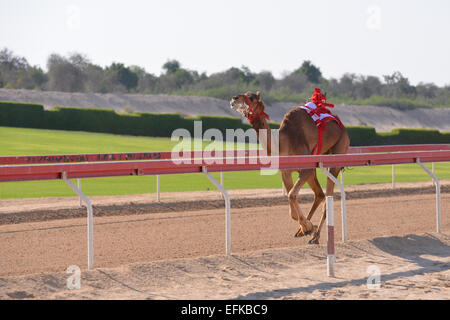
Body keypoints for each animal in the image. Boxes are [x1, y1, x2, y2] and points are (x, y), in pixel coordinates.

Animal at [230, 89, 350, 244]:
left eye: (251, 97)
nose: (234, 98)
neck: (283, 141)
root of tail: (342, 127)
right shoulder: (286, 171)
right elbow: (291, 204)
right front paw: (307, 228)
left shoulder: (306, 167)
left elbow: (292, 195)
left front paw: (309, 227)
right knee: (319, 194)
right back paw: (304, 232)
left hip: (337, 154)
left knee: (326, 198)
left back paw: (315, 237)